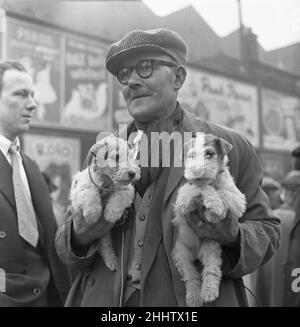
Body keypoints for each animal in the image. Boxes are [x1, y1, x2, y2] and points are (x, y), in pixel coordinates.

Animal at [70, 136, 141, 272]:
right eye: (117, 157)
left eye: (130, 156)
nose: (132, 173)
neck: (107, 181)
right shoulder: (80, 188)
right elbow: (90, 193)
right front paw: (92, 214)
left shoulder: (127, 190)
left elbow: (118, 197)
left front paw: (110, 215)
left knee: (105, 245)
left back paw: (112, 260)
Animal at [171, 134, 246, 308]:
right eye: (191, 155)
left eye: (209, 154)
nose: (196, 171)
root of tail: (196, 254)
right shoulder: (183, 199)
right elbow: (203, 188)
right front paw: (213, 204)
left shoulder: (238, 199)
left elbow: (222, 193)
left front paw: (215, 209)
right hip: (181, 254)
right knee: (191, 277)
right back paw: (194, 297)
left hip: (211, 248)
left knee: (211, 271)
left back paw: (208, 292)